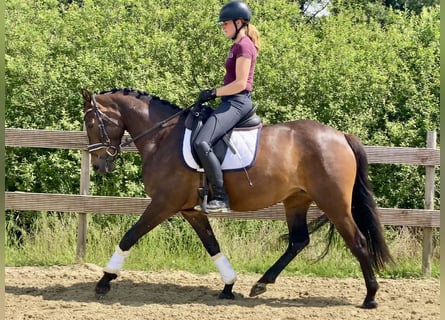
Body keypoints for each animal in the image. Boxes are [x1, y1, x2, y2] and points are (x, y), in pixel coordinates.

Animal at [80, 87, 392, 308]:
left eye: (92, 123)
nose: (99, 165)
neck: (163, 138)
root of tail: (340, 136)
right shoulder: (190, 210)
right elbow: (212, 245)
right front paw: (229, 285)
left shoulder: (163, 204)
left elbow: (129, 236)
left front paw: (104, 280)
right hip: (296, 200)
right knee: (298, 241)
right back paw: (261, 284)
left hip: (334, 202)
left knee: (357, 241)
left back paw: (371, 297)